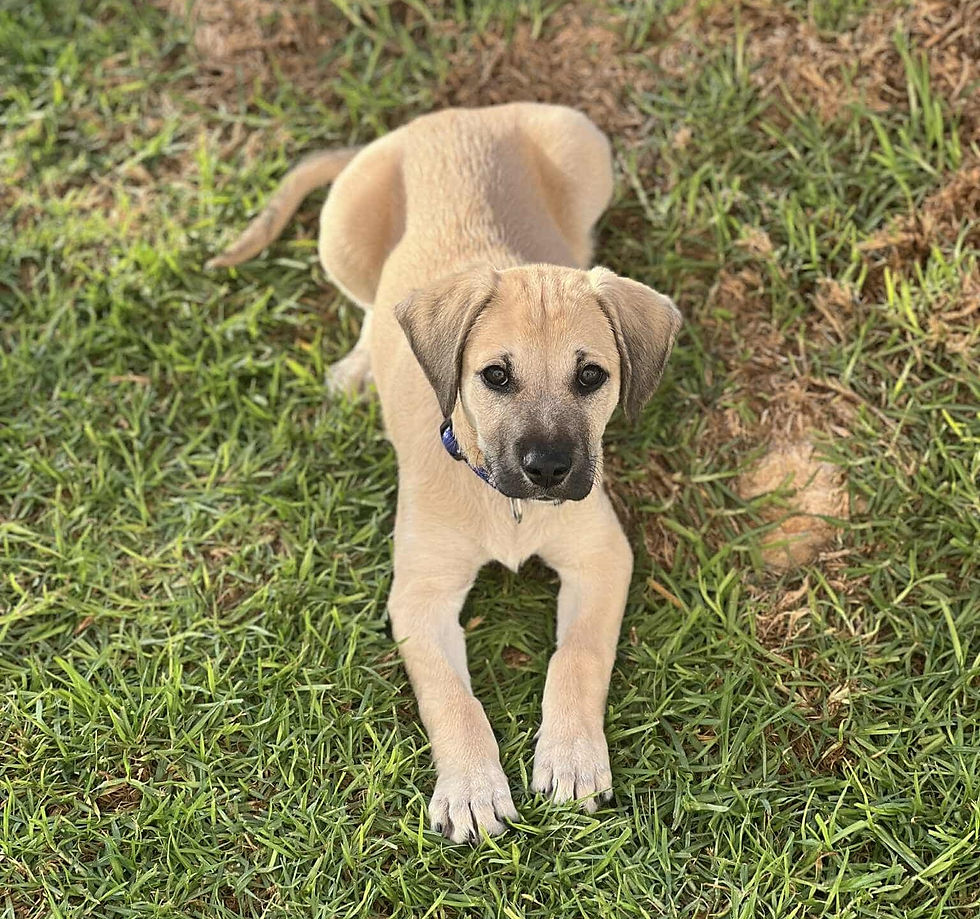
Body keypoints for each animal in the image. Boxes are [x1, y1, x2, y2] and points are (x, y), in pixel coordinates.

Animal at [209, 103, 681, 843]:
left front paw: (572, 756)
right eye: (495, 375)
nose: (549, 470)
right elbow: (451, 698)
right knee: (370, 305)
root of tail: (454, 116)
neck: (503, 502)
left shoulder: (602, 557)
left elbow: (576, 657)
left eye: (591, 377)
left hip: (583, 144)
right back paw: (359, 369)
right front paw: (471, 787)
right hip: (340, 233)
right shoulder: (420, 596)